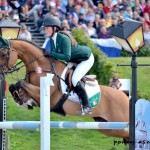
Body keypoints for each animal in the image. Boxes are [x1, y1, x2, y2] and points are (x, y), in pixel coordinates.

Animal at [0, 37, 129, 139]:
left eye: (3, 54)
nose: (1, 73)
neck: (41, 67)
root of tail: (124, 95)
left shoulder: (43, 93)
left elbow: (21, 83)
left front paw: (23, 101)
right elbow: (14, 85)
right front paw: (23, 101)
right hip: (106, 127)